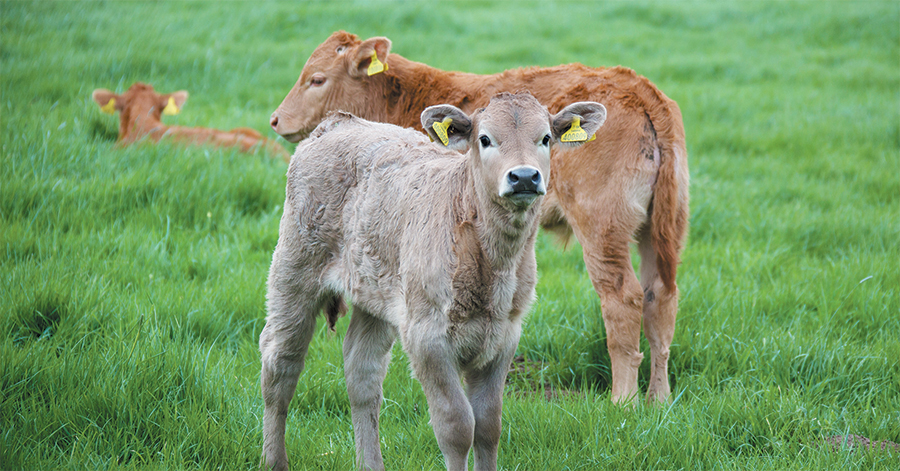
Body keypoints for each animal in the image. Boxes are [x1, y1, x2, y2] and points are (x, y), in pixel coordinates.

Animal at [259, 92, 607, 471]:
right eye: (485, 139)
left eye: (545, 138)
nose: (525, 177)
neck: (490, 261)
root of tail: (338, 121)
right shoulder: (427, 337)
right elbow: (456, 426)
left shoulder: (505, 337)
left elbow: (488, 425)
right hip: (294, 271)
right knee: (280, 365)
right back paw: (273, 460)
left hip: (376, 292)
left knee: (362, 373)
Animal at [269, 31, 689, 404]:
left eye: (317, 79)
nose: (275, 120)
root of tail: (641, 89)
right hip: (659, 230)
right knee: (660, 297)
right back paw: (658, 399)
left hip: (602, 227)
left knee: (623, 299)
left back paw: (624, 400)